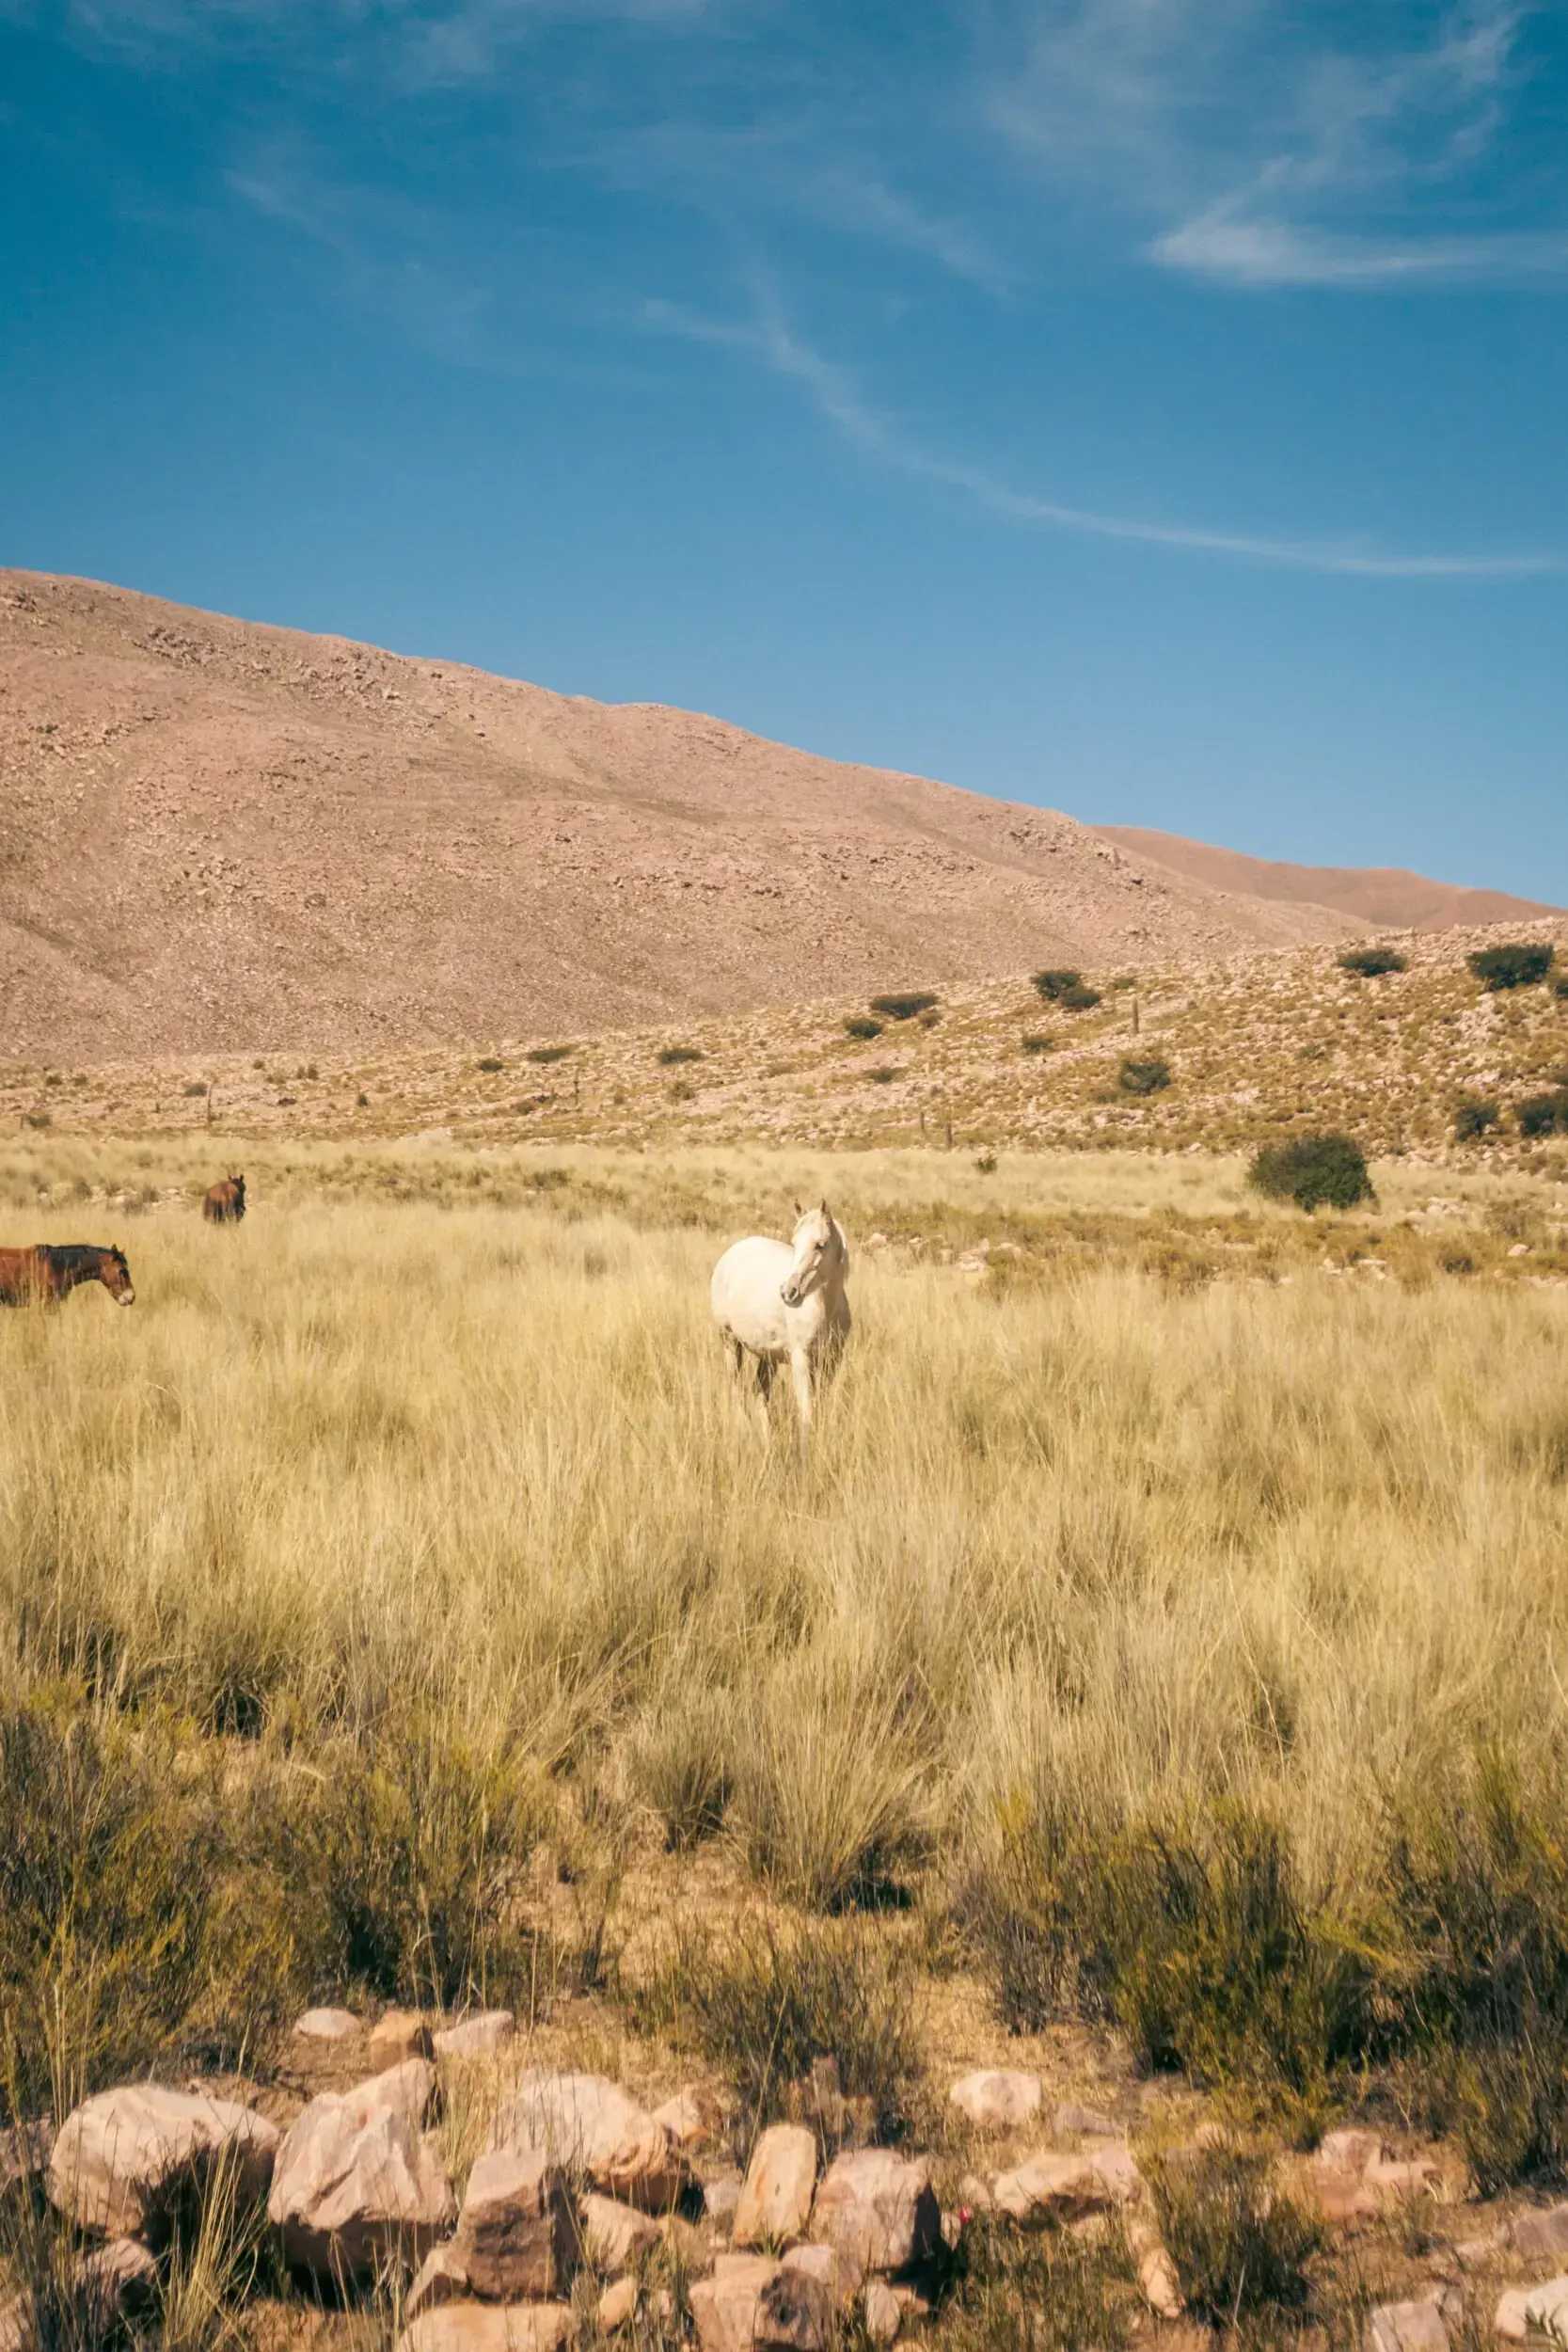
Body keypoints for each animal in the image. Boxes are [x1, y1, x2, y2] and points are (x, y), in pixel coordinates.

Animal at [710, 1201, 851, 1431]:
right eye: (794, 1243)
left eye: (820, 1244)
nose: (788, 1292)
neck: (825, 1309)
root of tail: (732, 1252)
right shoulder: (801, 1359)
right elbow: (806, 1413)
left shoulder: (831, 1361)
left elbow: (820, 1407)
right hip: (730, 1342)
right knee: (736, 1389)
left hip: (768, 1356)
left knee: (760, 1393)